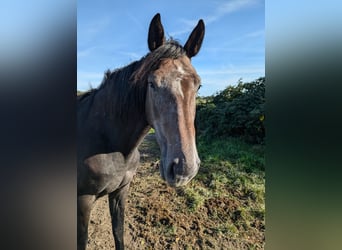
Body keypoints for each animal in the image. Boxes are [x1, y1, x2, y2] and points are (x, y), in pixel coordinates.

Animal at [77, 14, 204, 250]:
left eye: (198, 85)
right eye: (152, 84)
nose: (184, 168)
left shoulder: (120, 192)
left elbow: (118, 233)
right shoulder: (83, 201)